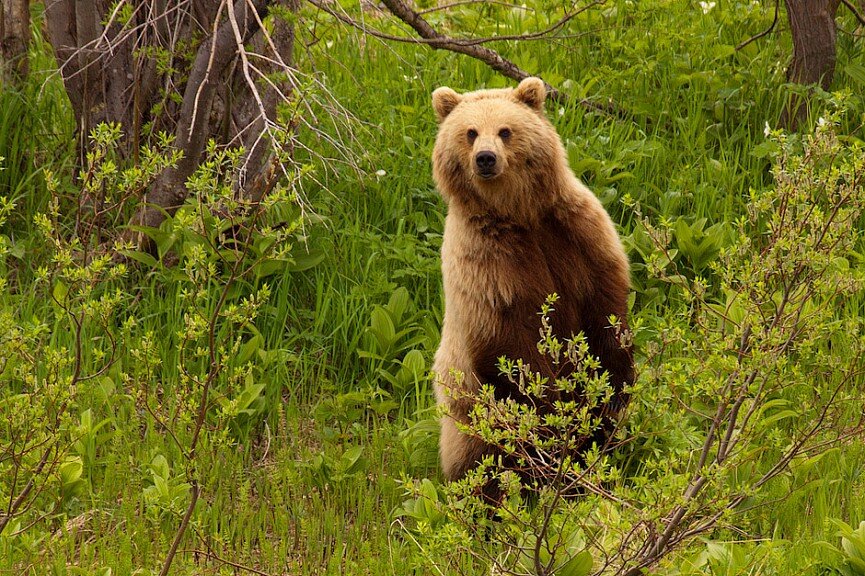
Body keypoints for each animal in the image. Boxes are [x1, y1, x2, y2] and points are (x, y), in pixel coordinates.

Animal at [428, 76, 632, 482]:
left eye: (505, 130)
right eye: (470, 132)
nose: (485, 158)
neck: (518, 214)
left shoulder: (578, 234)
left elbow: (606, 310)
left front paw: (612, 393)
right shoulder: (489, 268)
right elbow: (512, 349)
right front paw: (549, 412)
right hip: (467, 418)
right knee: (484, 462)